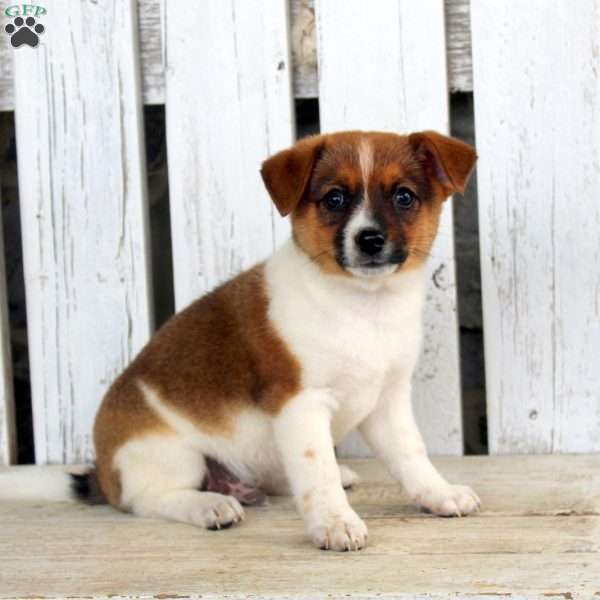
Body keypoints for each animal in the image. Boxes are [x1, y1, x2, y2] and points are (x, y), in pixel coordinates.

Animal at [1, 129, 478, 552]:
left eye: (404, 196)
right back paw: (209, 505)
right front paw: (335, 522)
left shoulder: (387, 402)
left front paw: (438, 493)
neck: (363, 306)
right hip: (171, 454)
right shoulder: (302, 405)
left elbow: (411, 457)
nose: (370, 239)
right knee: (146, 500)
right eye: (334, 199)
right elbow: (317, 475)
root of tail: (100, 474)